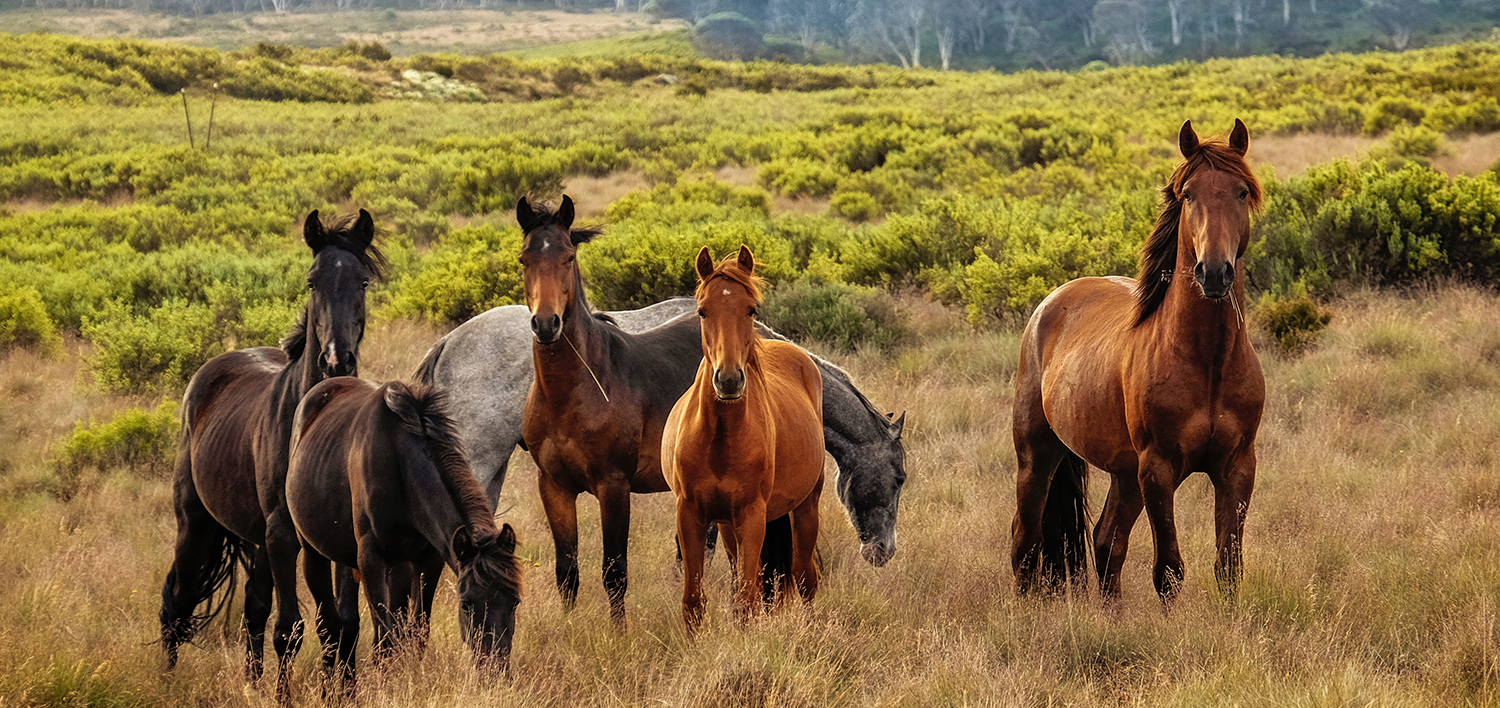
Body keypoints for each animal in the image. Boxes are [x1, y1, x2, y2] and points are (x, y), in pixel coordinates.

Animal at [285, 379, 522, 693]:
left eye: (515, 602)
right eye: (466, 605)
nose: (496, 673)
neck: (399, 464)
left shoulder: (428, 560)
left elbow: (415, 632)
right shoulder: (371, 560)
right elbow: (385, 639)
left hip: (374, 564)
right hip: (314, 554)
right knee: (329, 627)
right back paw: (331, 693)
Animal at [666, 247, 828, 630]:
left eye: (750, 309)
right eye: (702, 310)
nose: (728, 380)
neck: (719, 439)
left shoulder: (752, 515)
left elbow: (746, 602)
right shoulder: (690, 514)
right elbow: (693, 602)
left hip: (805, 506)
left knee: (804, 577)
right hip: (728, 526)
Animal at [1008, 119, 1266, 600]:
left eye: (1241, 191)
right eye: (1188, 195)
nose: (1214, 272)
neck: (1208, 362)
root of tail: (1050, 303)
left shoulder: (1237, 467)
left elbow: (1228, 567)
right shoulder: (1158, 470)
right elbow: (1169, 570)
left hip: (1124, 474)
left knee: (1106, 542)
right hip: (1037, 456)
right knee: (1025, 542)